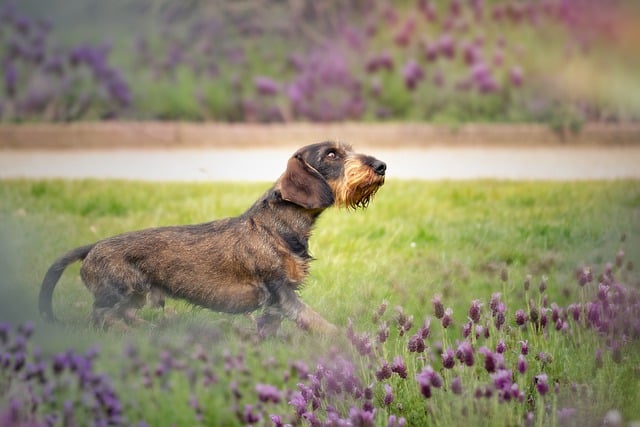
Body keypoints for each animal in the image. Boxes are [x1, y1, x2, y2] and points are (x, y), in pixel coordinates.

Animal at [38, 142, 384, 336]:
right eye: (331, 154)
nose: (382, 165)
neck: (276, 226)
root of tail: (91, 247)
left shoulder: (275, 303)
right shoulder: (281, 292)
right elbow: (316, 320)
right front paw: (347, 341)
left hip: (136, 294)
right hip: (118, 292)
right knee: (99, 318)